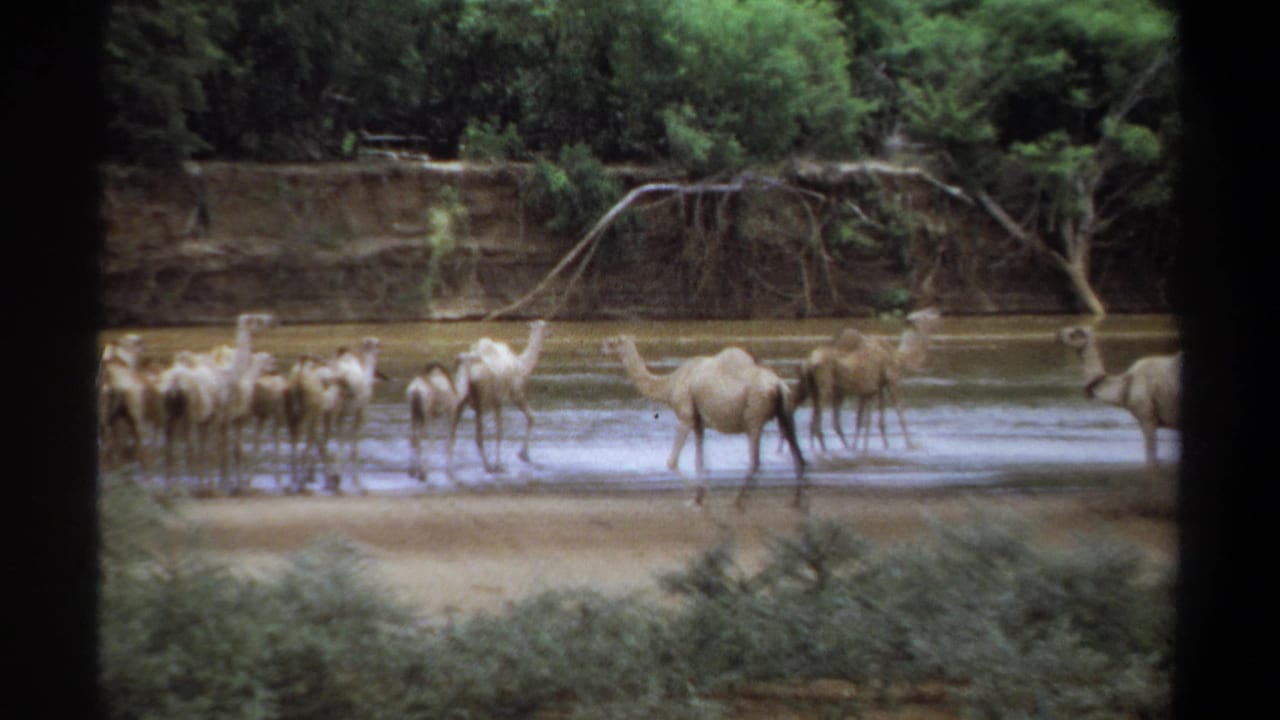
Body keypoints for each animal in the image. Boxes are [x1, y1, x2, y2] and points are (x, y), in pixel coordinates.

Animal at [450, 320, 550, 472]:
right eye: (546, 326)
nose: (551, 333)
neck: (522, 365)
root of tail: (467, 367)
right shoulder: (514, 393)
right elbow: (526, 419)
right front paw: (520, 456)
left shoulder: (496, 401)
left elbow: (499, 431)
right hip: (481, 397)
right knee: (478, 436)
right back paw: (488, 466)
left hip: (461, 395)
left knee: (452, 431)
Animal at [601, 335, 806, 509]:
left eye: (614, 342)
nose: (603, 347)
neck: (670, 385)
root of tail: (778, 385)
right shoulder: (699, 423)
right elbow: (700, 460)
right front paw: (699, 496)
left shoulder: (686, 417)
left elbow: (672, 461)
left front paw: (696, 496)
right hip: (785, 413)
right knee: (798, 455)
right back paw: (795, 501)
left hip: (754, 416)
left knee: (755, 460)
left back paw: (737, 500)